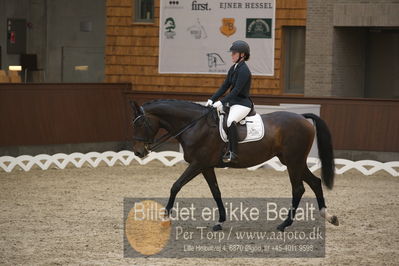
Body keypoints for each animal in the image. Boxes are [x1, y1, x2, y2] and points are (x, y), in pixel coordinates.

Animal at [130, 100, 340, 231]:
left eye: (141, 124)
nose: (138, 152)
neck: (194, 125)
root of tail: (303, 118)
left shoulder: (198, 164)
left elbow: (176, 186)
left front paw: (165, 218)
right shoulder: (206, 166)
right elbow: (216, 191)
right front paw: (220, 222)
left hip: (293, 161)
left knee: (298, 189)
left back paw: (284, 224)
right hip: (293, 161)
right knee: (315, 182)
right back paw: (328, 216)